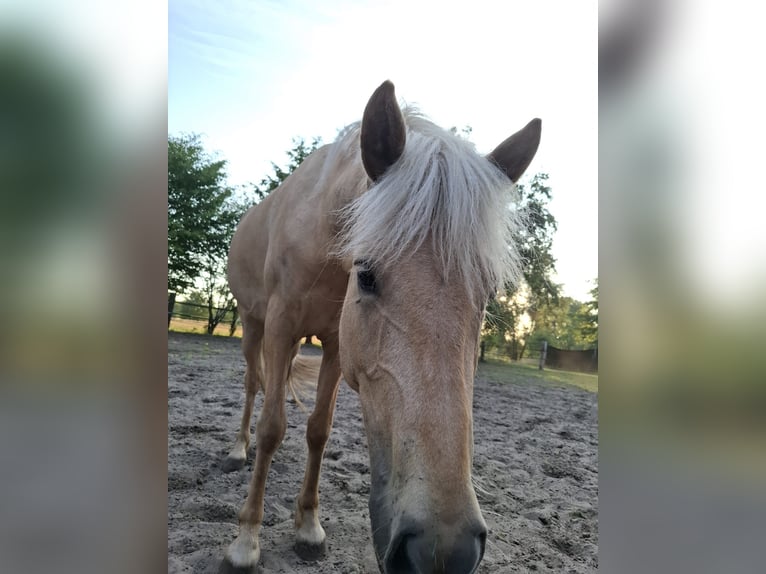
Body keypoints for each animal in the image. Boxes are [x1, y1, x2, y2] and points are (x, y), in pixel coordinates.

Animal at [221, 80, 541, 574]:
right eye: (367, 275)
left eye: (487, 294)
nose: (442, 553)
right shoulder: (279, 327)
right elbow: (272, 427)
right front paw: (245, 540)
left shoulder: (336, 344)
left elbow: (319, 429)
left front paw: (308, 527)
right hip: (254, 326)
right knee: (254, 386)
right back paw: (238, 449)